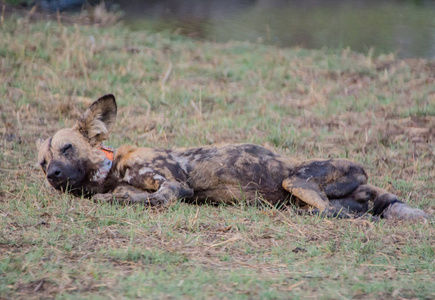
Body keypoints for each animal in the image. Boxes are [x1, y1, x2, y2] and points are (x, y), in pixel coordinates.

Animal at [38, 95, 432, 219]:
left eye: (67, 148)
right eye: (42, 163)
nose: (52, 175)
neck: (109, 170)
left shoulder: (174, 185)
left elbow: (153, 197)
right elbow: (127, 196)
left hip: (297, 180)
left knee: (329, 210)